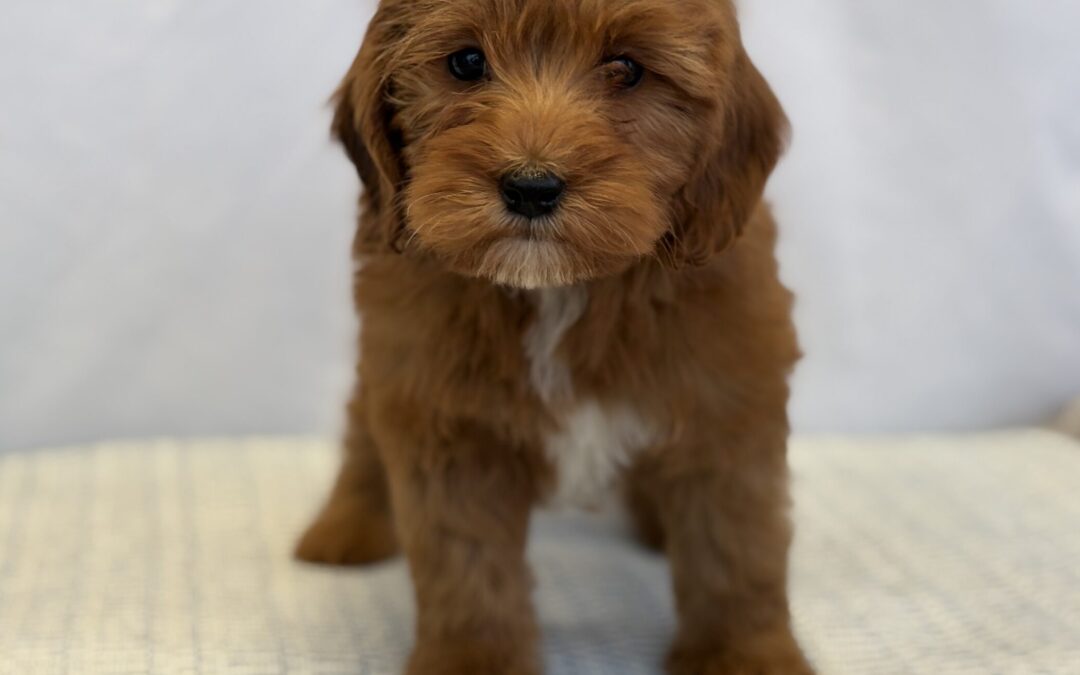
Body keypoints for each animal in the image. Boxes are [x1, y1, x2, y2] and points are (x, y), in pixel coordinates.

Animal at [295, 1, 812, 673]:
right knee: (362, 430)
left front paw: (743, 654)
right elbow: (465, 564)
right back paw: (346, 525)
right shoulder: (441, 415)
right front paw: (473, 658)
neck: (561, 291)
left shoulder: (726, 405)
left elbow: (734, 551)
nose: (532, 187)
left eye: (627, 68)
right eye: (467, 62)